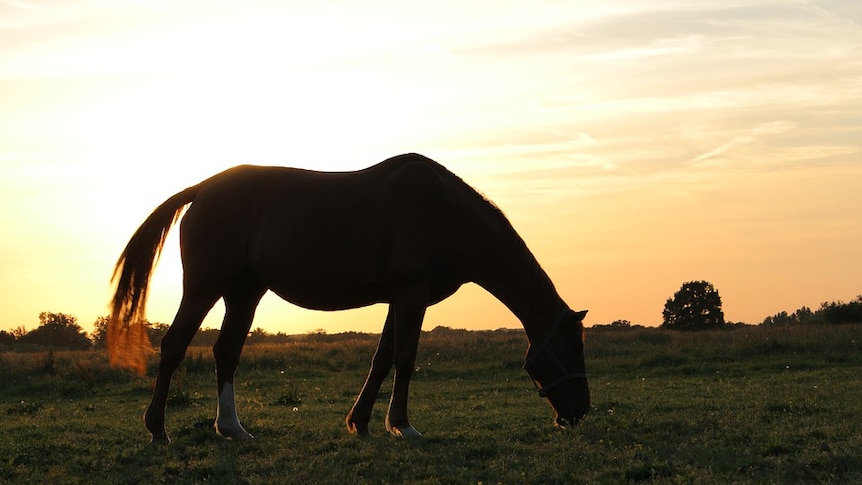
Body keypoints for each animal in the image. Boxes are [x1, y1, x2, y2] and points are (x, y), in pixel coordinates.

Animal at [108, 153, 592, 440]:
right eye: (573, 348)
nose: (581, 413)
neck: (447, 211)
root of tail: (203, 189)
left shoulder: (400, 298)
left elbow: (382, 358)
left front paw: (360, 422)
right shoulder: (411, 294)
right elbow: (405, 359)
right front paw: (402, 426)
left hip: (244, 293)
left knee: (226, 353)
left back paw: (232, 428)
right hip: (205, 287)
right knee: (174, 347)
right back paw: (158, 428)